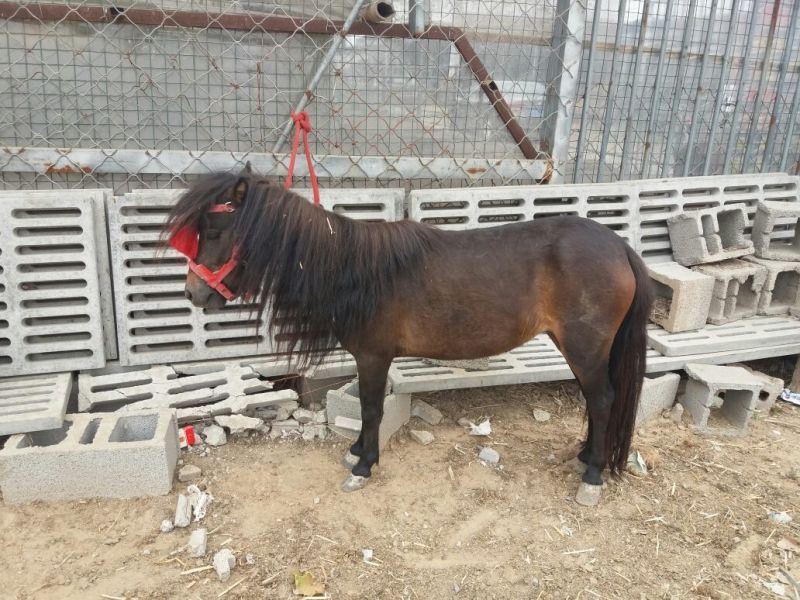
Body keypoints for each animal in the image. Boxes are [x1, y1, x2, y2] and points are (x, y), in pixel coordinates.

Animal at [163, 167, 653, 506]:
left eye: (215, 230)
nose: (192, 293)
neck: (351, 268)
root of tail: (620, 247)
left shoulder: (373, 355)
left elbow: (372, 409)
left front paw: (364, 464)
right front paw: (357, 451)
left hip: (585, 347)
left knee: (603, 400)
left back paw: (592, 476)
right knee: (596, 401)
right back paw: (585, 457)